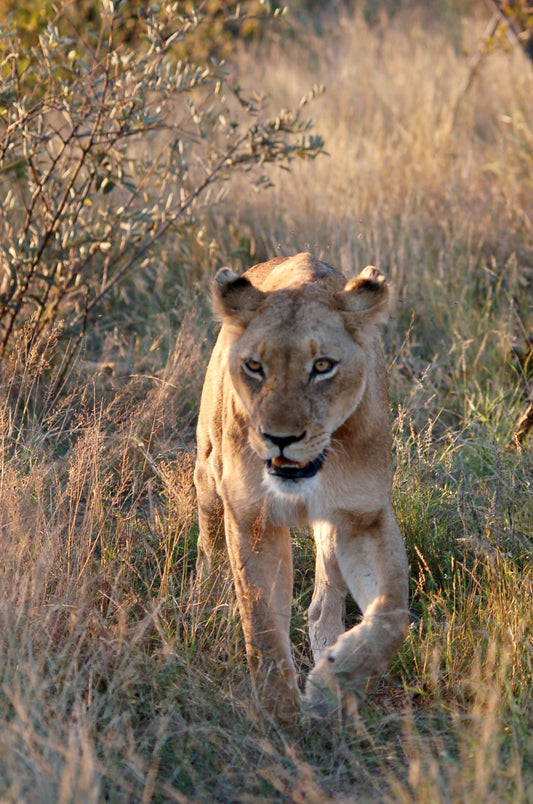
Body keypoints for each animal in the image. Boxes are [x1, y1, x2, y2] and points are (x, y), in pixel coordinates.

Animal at [194, 252, 409, 721]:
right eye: (255, 367)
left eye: (322, 366)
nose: (280, 438)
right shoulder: (253, 519)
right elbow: (262, 627)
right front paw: (282, 718)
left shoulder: (363, 517)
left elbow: (391, 615)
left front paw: (332, 680)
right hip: (208, 473)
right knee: (210, 546)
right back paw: (203, 605)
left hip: (332, 528)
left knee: (324, 599)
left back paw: (327, 653)